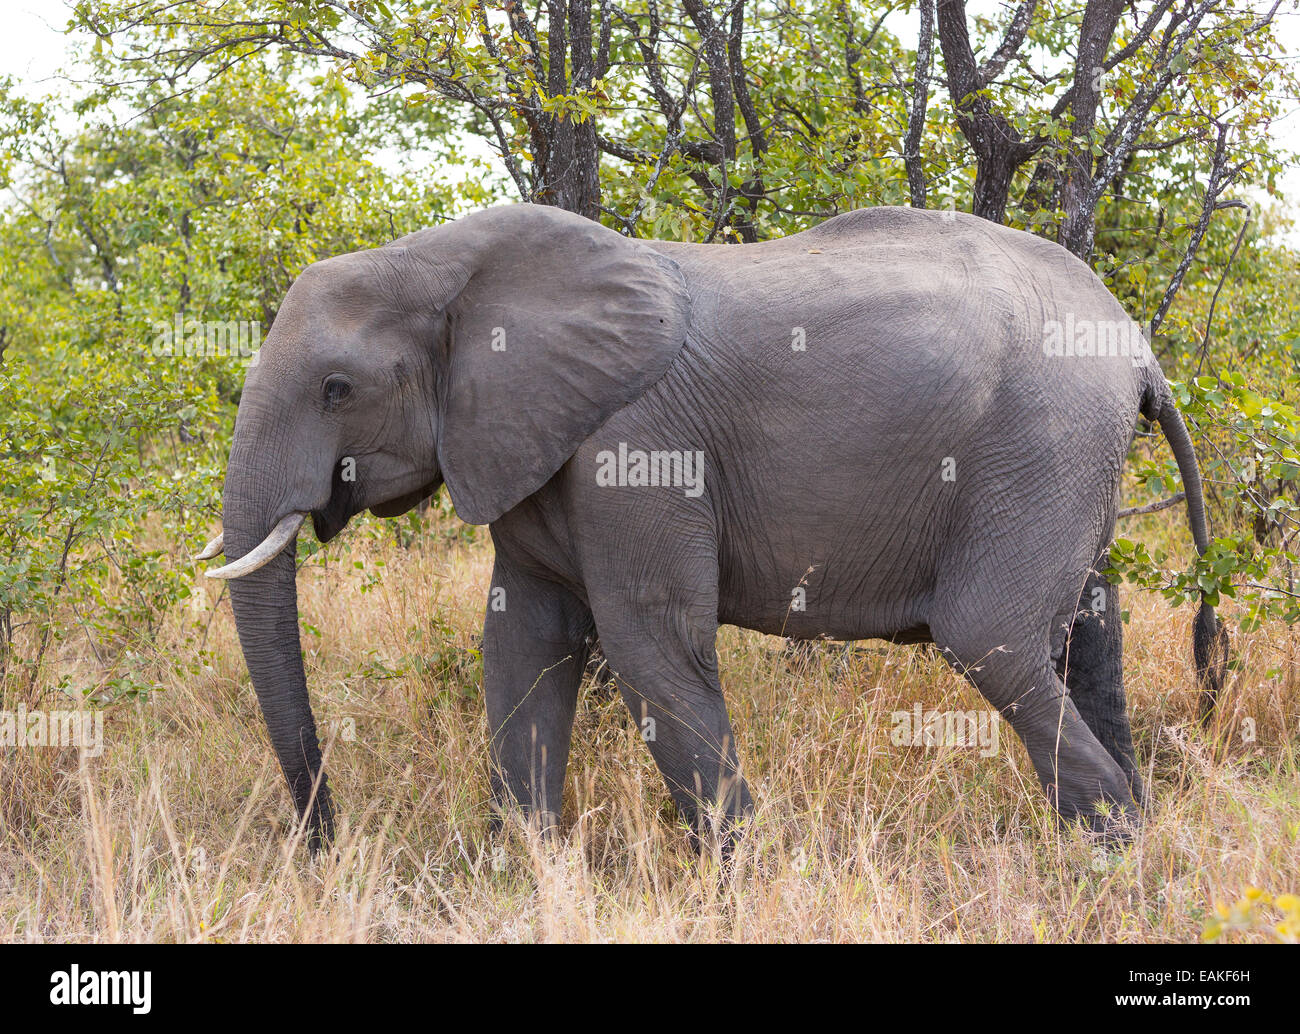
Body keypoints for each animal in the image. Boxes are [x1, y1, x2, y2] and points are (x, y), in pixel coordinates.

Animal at [197, 200, 1222, 848]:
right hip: (1072, 462)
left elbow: (649, 643)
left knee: (994, 638)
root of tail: (1140, 353)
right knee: (1090, 638)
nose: (326, 842)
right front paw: (518, 870)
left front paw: (750, 872)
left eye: (337, 390)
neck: (438, 260)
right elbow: (522, 641)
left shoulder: (633, 446)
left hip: (1039, 445)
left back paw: (1114, 857)